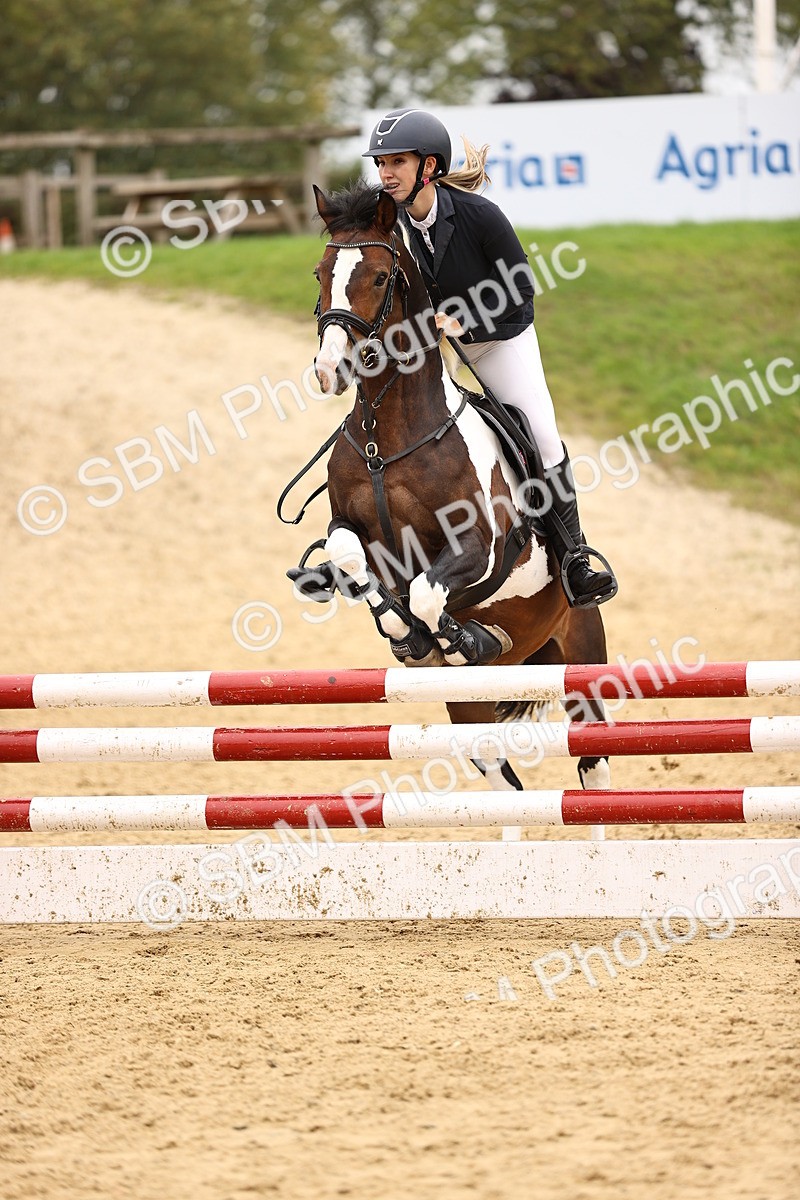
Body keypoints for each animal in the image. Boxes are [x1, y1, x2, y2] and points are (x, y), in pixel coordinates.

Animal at [291, 180, 611, 798]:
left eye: (379, 278)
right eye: (319, 273)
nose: (330, 370)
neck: (387, 437)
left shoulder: (479, 547)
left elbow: (426, 591)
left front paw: (464, 638)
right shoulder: (351, 526)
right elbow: (353, 557)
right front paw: (409, 637)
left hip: (581, 653)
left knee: (595, 764)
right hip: (468, 707)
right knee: (499, 773)